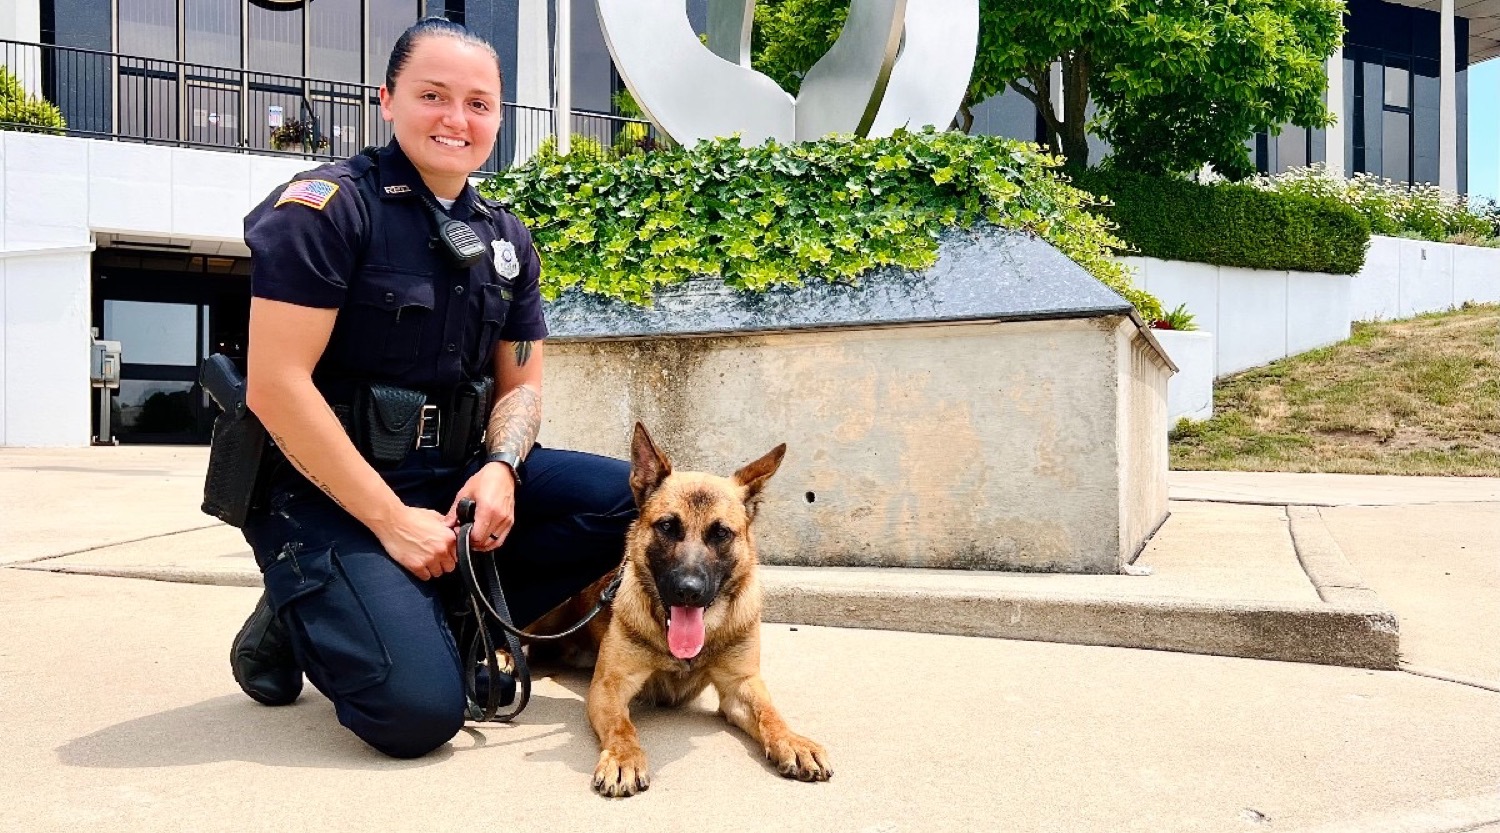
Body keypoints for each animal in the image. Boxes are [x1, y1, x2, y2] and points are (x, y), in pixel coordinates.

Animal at [549, 426, 840, 798]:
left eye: (721, 533)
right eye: (667, 527)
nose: (688, 591)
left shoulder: (741, 686)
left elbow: (770, 714)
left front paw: (793, 741)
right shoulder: (609, 686)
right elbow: (622, 727)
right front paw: (624, 757)